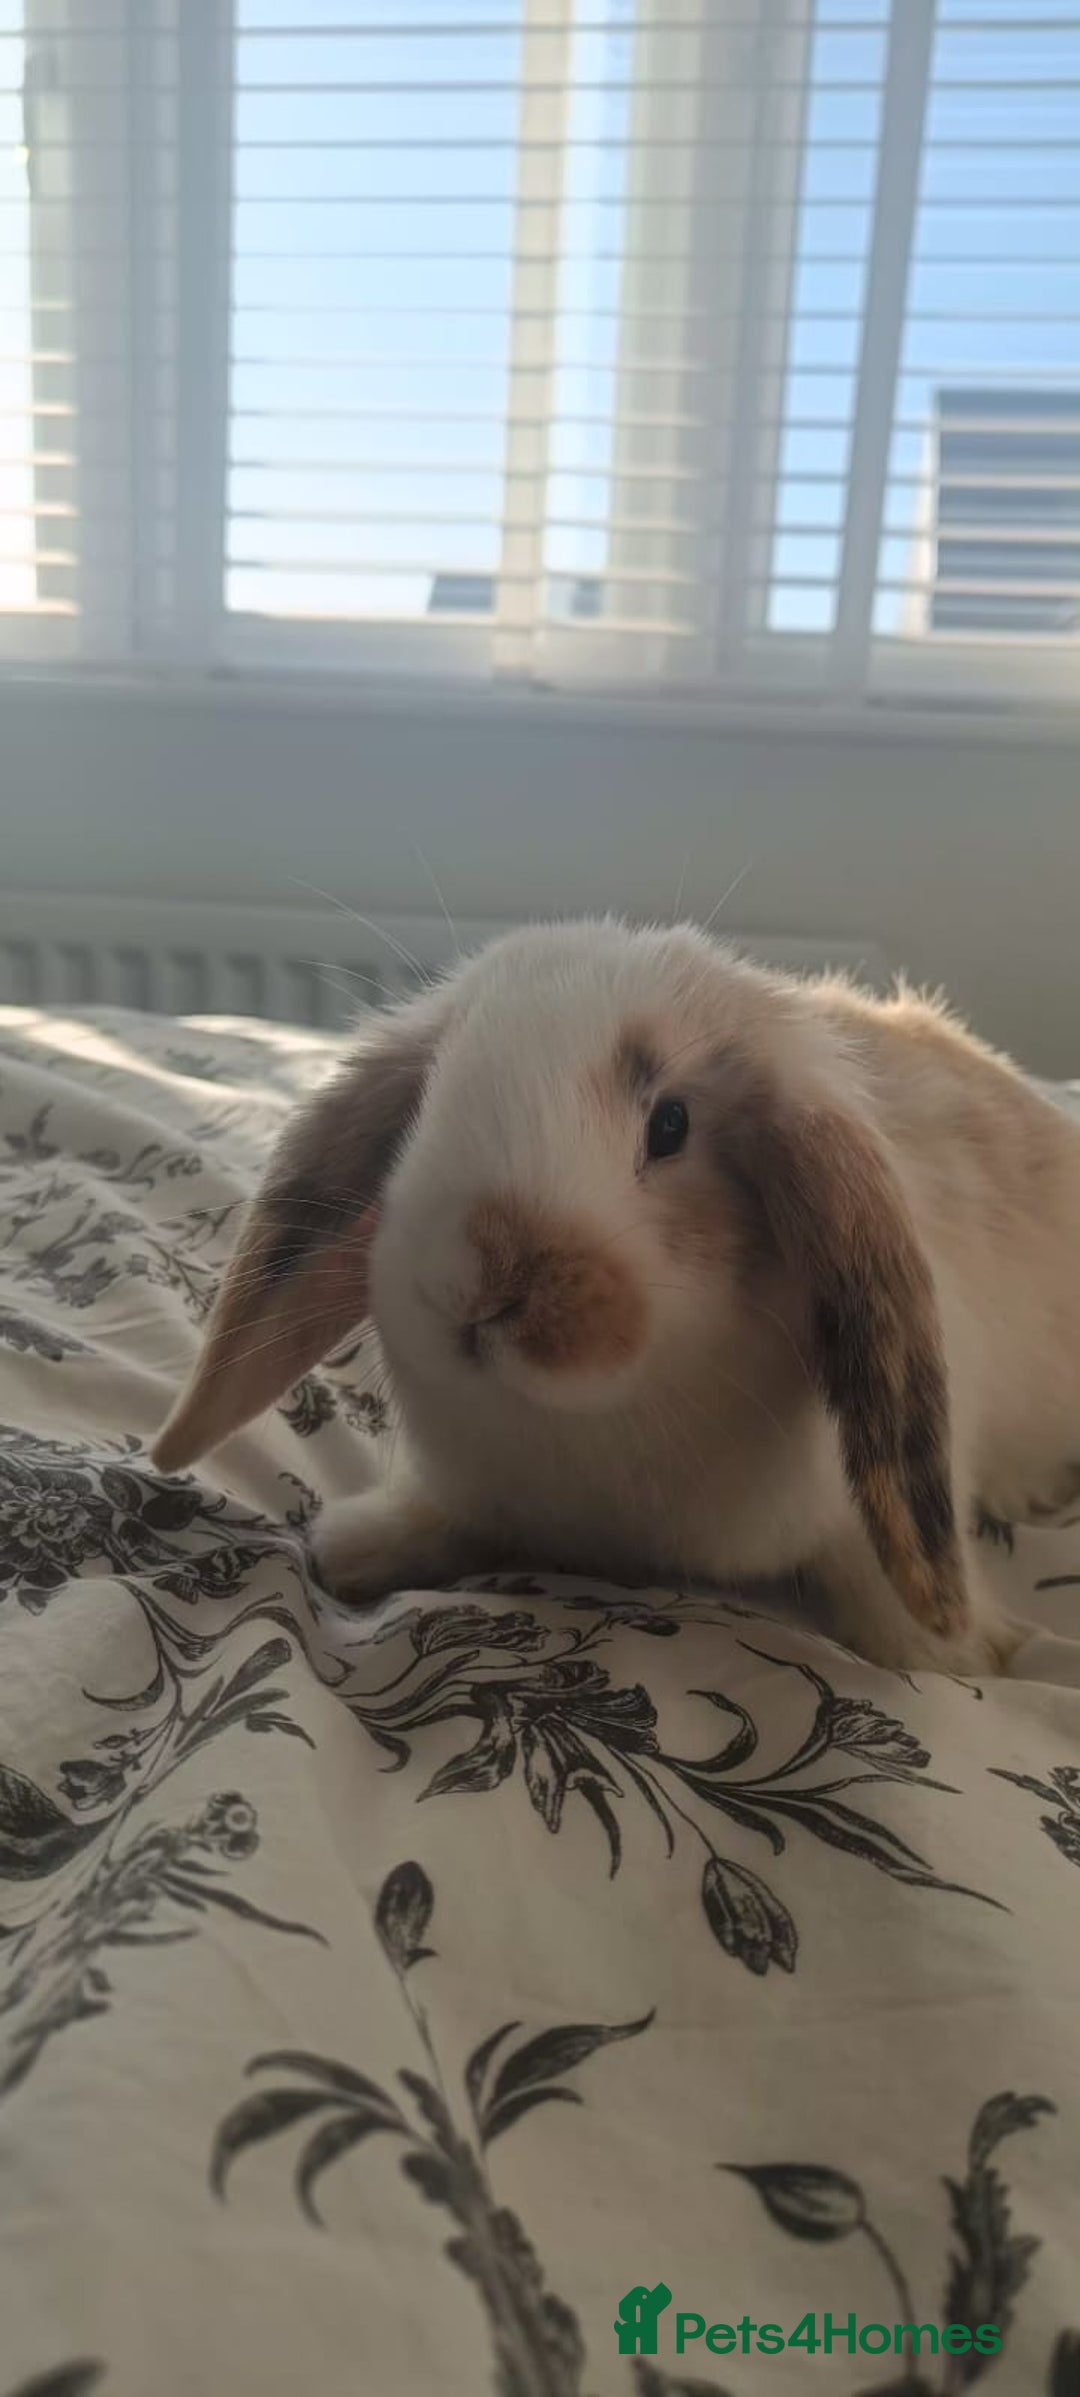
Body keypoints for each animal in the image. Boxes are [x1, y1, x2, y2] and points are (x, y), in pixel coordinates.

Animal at [150, 917, 1080, 1676]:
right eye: (422, 1110)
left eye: (670, 1126)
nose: (477, 1283)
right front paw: (355, 1549)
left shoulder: (857, 1525)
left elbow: (883, 1591)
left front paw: (956, 1654)